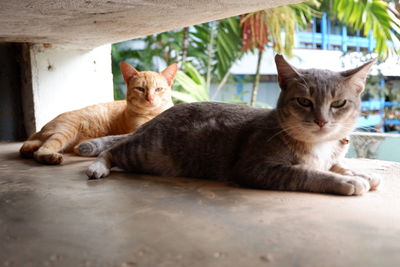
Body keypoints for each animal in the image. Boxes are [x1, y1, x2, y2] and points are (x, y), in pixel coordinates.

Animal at [19, 62, 177, 165]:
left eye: (158, 89)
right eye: (140, 89)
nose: (149, 98)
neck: (153, 113)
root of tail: (41, 130)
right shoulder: (136, 130)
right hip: (64, 132)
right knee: (40, 150)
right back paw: (50, 157)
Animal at [85, 55, 382, 197]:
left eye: (339, 103)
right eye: (304, 101)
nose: (322, 120)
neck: (319, 145)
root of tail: (154, 120)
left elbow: (337, 164)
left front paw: (360, 173)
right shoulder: (257, 167)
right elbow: (309, 173)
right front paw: (347, 181)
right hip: (147, 152)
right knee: (112, 150)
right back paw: (97, 167)